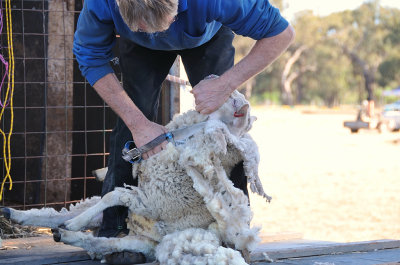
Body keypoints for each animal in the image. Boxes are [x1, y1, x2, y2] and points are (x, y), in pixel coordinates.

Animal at [0, 89, 268, 262]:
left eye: (232, 99)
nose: (212, 78)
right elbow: (111, 195)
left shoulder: (149, 202)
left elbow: (115, 195)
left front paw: (74, 225)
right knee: (57, 216)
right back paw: (16, 214)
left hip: (144, 240)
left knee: (99, 241)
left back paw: (67, 232)